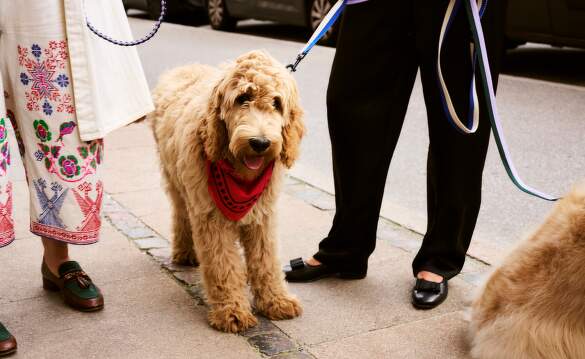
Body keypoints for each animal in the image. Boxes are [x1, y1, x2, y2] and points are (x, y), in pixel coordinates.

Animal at [148, 51, 304, 334]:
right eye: (243, 98)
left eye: (277, 103)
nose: (260, 143)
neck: (241, 176)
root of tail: (186, 67)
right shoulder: (212, 219)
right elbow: (223, 265)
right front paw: (232, 311)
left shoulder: (263, 216)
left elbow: (266, 260)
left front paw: (276, 300)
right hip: (177, 181)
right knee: (181, 214)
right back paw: (185, 252)